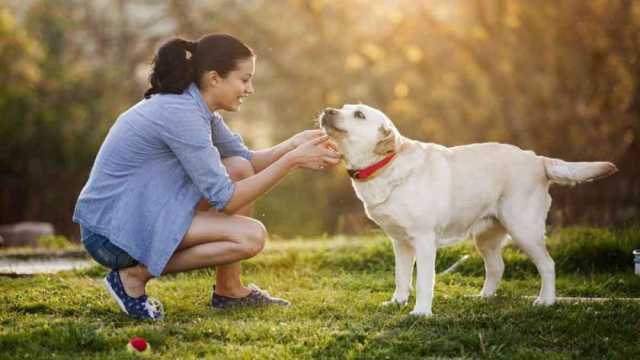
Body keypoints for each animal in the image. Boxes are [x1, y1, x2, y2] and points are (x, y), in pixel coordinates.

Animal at [322, 103, 616, 316]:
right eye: (344, 107)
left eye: (359, 114)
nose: (328, 110)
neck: (384, 166)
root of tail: (537, 158)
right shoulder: (400, 242)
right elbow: (401, 277)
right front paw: (397, 302)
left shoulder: (424, 239)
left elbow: (424, 280)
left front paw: (421, 312)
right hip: (485, 236)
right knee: (497, 266)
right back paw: (483, 297)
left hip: (524, 229)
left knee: (548, 265)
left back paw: (546, 301)